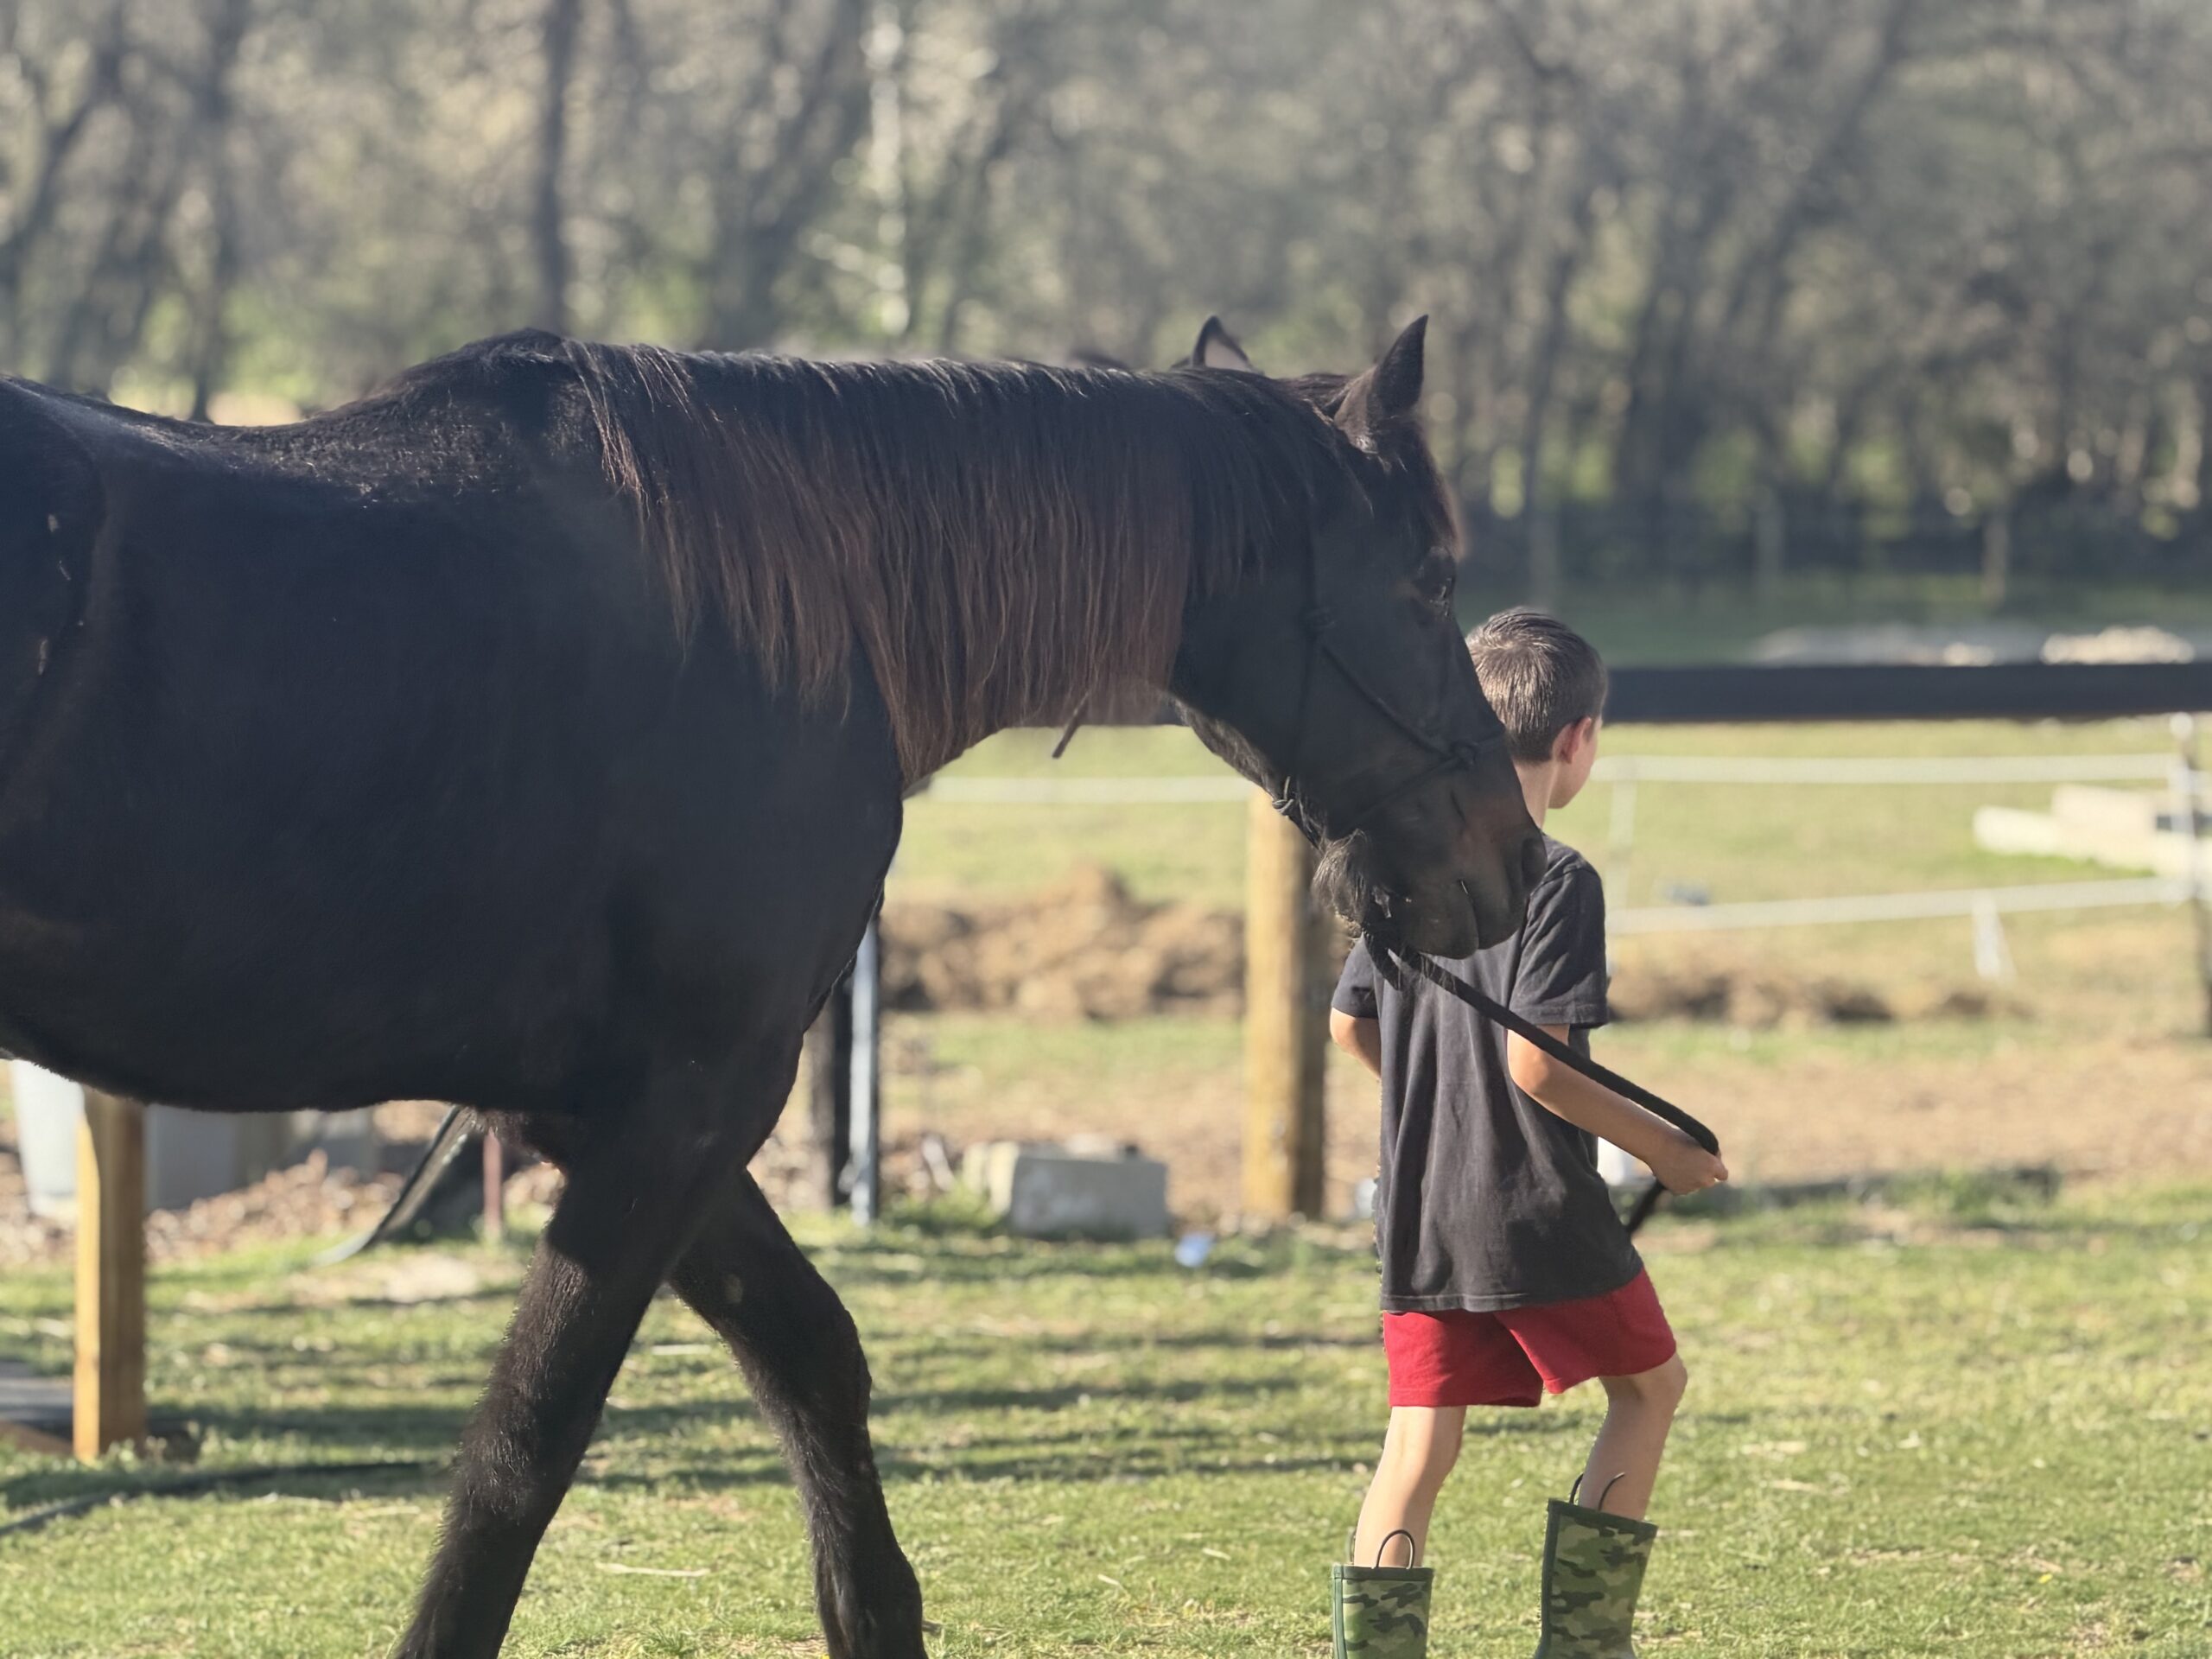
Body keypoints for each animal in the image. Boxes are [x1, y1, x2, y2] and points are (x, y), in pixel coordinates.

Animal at [0, 314, 1543, 1656]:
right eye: (1430, 579)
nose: (1511, 855)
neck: (786, 616)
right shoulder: (685, 1107)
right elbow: (522, 1451)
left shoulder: (608, 1111)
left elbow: (810, 1352)